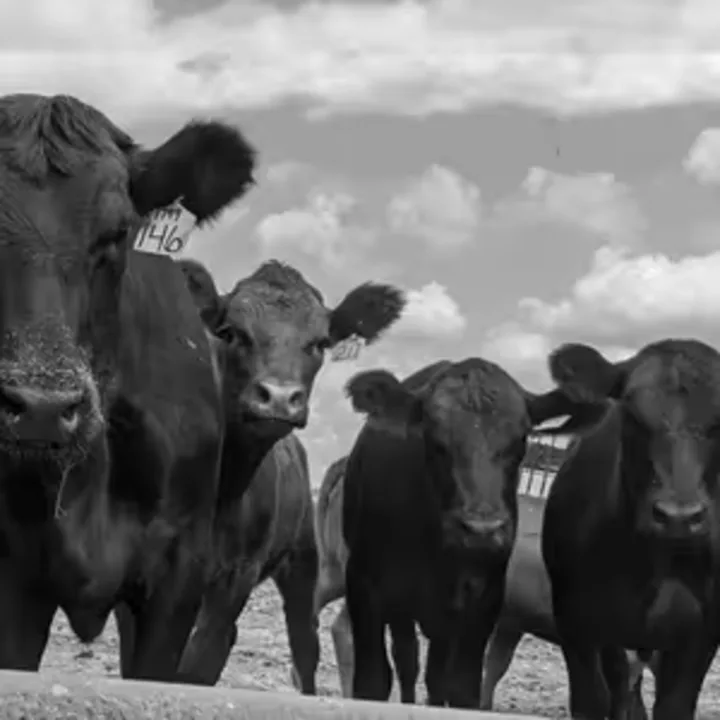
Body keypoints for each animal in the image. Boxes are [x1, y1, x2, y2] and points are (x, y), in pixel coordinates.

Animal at [175, 258, 406, 688]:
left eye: (320, 343)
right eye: (231, 332)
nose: (280, 397)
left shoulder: (236, 576)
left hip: (303, 561)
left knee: (304, 644)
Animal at [340, 358, 582, 707]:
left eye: (521, 439)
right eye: (434, 438)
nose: (481, 530)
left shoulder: (483, 600)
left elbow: (462, 687)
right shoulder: (364, 585)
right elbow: (373, 681)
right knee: (407, 661)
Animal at [541, 339, 720, 720]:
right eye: (633, 415)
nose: (679, 516)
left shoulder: (703, 631)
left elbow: (674, 706)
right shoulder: (575, 619)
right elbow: (591, 700)